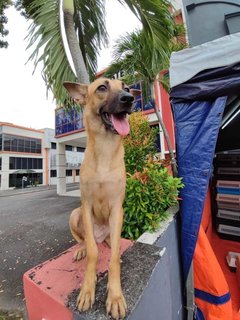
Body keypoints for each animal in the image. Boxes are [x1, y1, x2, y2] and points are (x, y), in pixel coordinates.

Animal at [63, 78, 140, 320]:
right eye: (102, 88)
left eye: (126, 87)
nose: (129, 98)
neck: (105, 148)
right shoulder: (86, 207)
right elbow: (93, 255)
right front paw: (88, 290)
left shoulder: (117, 208)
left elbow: (113, 258)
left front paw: (114, 296)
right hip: (75, 215)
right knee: (86, 241)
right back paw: (82, 248)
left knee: (111, 242)